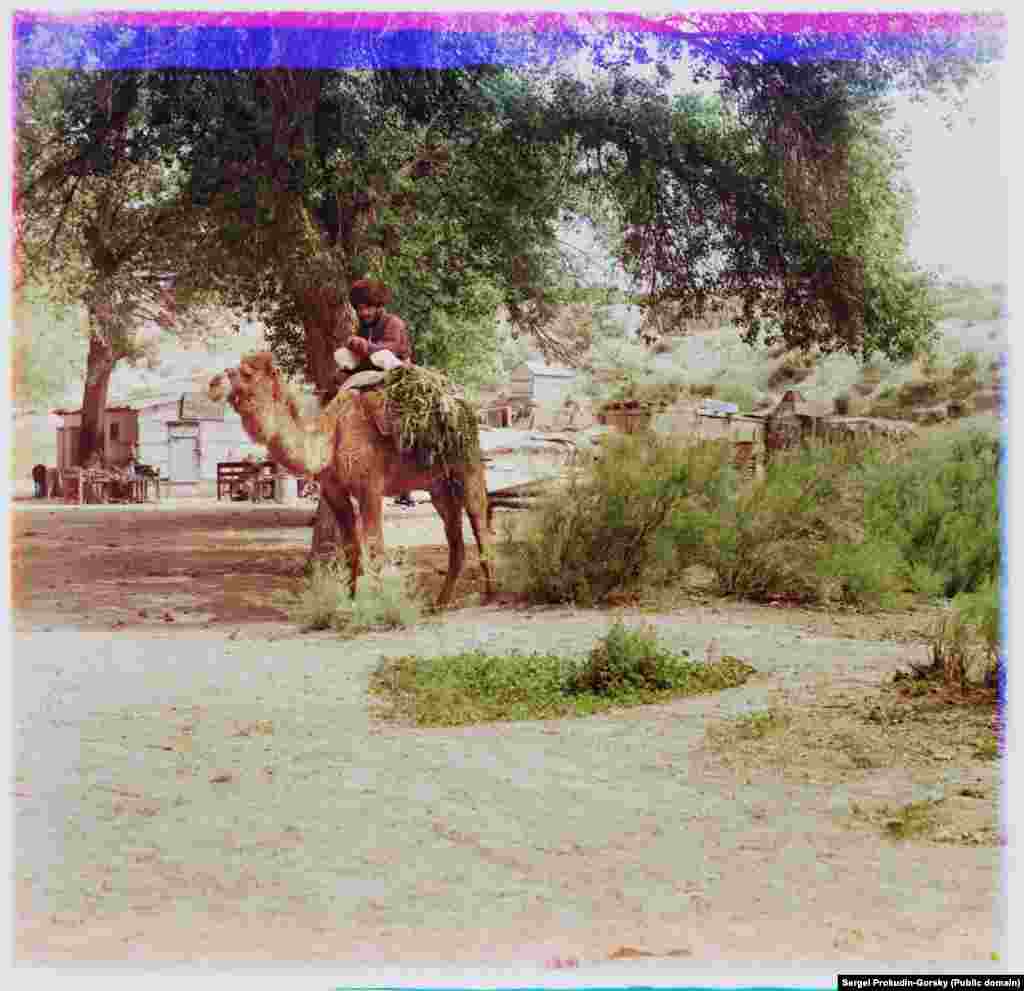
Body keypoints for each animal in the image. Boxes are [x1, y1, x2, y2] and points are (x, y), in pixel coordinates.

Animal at [207, 352, 491, 606]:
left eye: (246, 372)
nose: (213, 383)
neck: (330, 438)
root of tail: (459, 399)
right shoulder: (334, 491)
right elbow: (350, 549)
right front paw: (350, 602)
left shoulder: (370, 489)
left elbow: (375, 549)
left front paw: (381, 607)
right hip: (438, 485)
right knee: (455, 539)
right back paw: (440, 603)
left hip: (467, 464)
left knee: (479, 519)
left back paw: (491, 594)